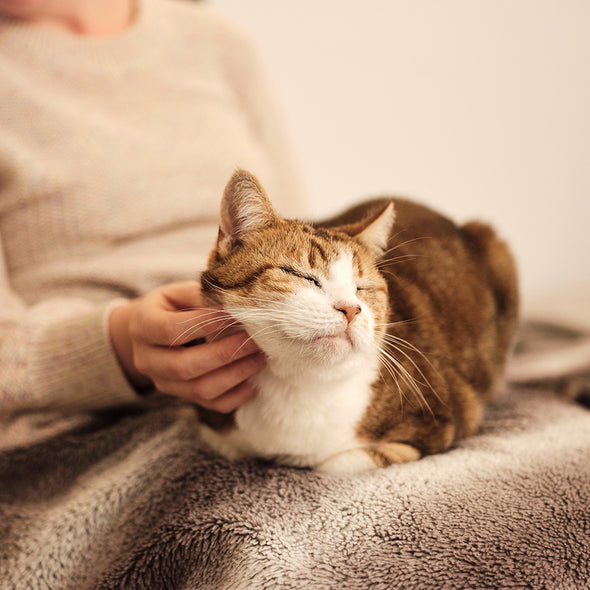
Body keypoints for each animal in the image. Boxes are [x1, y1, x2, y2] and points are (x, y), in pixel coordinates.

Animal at [198, 169, 520, 474]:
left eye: (362, 288)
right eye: (303, 276)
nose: (351, 309)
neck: (302, 382)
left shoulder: (444, 420)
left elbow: (333, 463)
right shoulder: (216, 430)